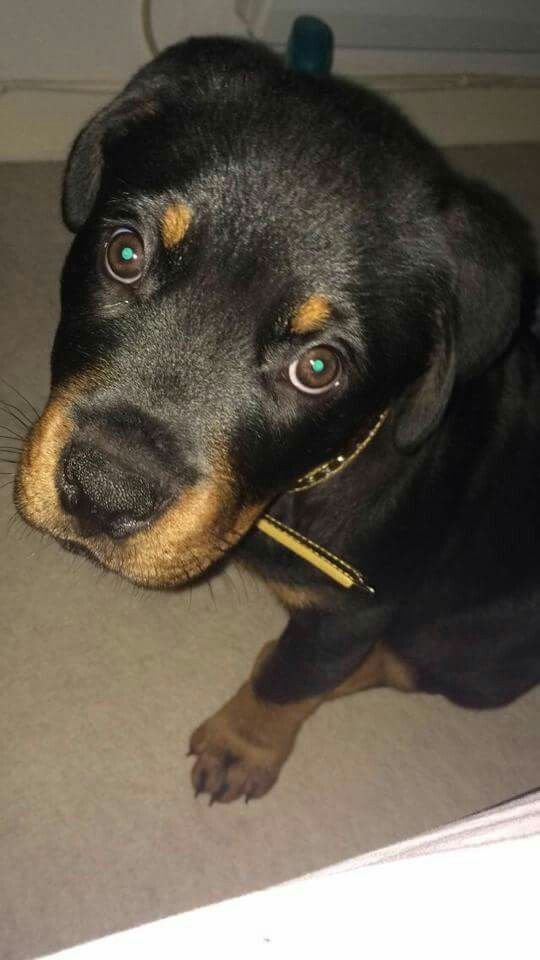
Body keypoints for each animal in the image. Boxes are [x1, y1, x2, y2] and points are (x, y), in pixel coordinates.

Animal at [13, 37, 540, 804]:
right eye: (124, 252)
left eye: (317, 368)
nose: (103, 495)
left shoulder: (358, 608)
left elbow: (290, 682)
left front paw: (242, 746)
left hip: (476, 648)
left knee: (399, 662)